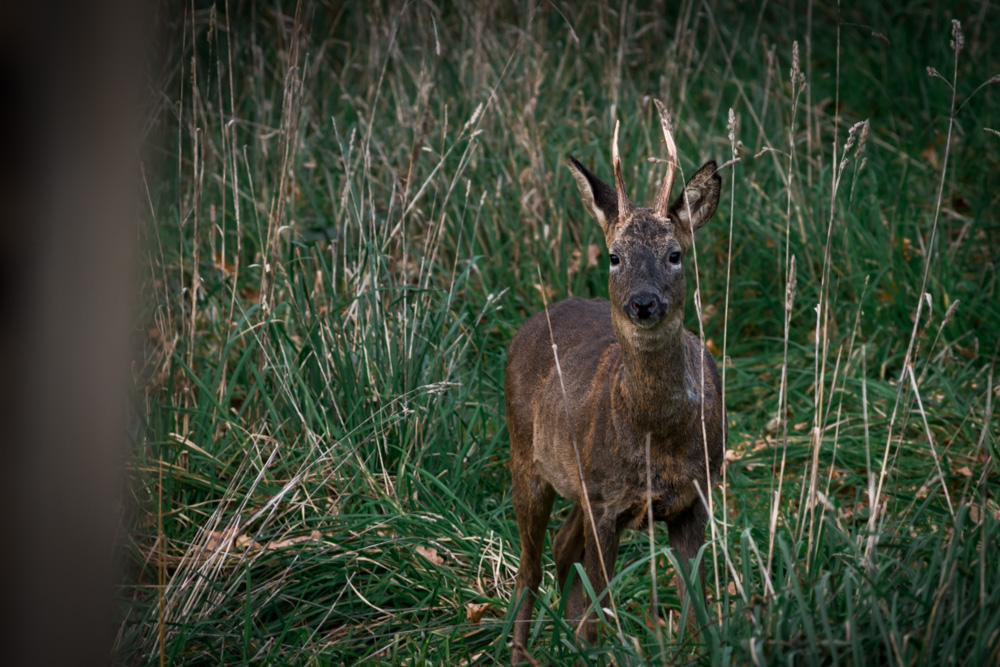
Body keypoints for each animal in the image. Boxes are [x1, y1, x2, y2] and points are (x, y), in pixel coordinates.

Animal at [504, 104, 724, 664]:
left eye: (674, 253)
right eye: (614, 256)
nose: (643, 302)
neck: (656, 437)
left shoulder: (696, 494)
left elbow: (698, 609)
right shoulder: (606, 499)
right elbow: (597, 614)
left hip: (579, 489)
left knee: (563, 550)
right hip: (526, 460)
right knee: (530, 568)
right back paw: (521, 652)